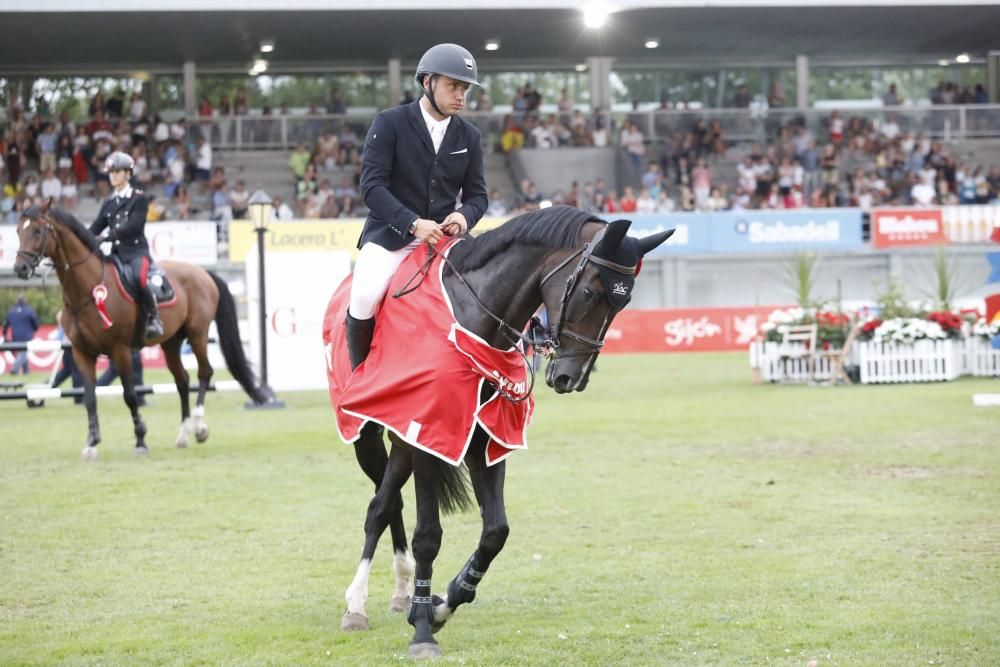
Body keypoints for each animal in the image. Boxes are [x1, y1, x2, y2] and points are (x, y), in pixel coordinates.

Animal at [13, 200, 272, 460]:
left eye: (38, 231)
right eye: (18, 231)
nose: (20, 268)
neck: (89, 289)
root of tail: (203, 272)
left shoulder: (120, 351)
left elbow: (129, 395)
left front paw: (140, 440)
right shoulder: (81, 353)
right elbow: (89, 398)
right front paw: (91, 443)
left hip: (197, 335)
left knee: (204, 373)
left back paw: (199, 426)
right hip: (170, 343)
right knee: (182, 380)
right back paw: (183, 433)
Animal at [336, 207, 672, 656]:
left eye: (625, 302)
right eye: (588, 293)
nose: (572, 378)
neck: (472, 320)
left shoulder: (483, 437)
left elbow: (496, 531)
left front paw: (442, 603)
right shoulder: (430, 434)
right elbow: (429, 534)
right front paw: (423, 629)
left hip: (402, 438)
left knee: (386, 503)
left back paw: (402, 593)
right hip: (370, 436)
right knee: (378, 509)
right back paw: (356, 605)